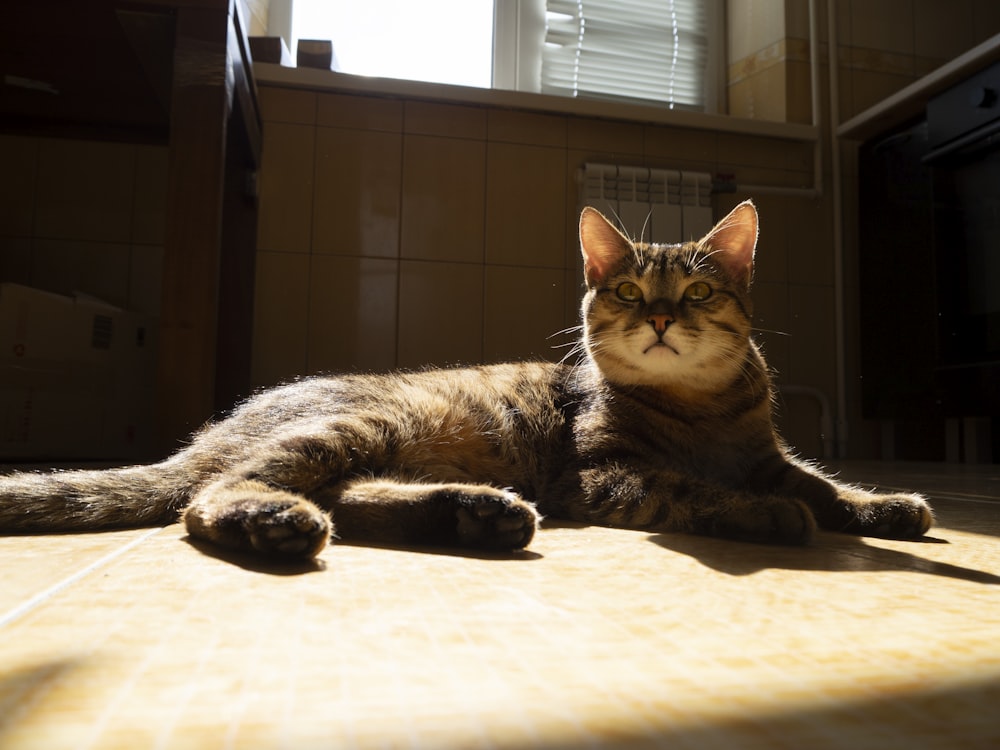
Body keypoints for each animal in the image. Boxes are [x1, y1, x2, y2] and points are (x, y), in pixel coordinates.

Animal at [0, 203, 932, 560]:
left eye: (699, 293)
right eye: (628, 292)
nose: (663, 318)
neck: (702, 412)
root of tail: (205, 435)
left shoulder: (770, 453)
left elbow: (823, 481)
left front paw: (883, 504)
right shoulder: (602, 474)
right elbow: (698, 490)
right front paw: (765, 515)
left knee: (346, 496)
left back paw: (473, 514)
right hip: (354, 428)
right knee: (216, 498)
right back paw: (273, 522)